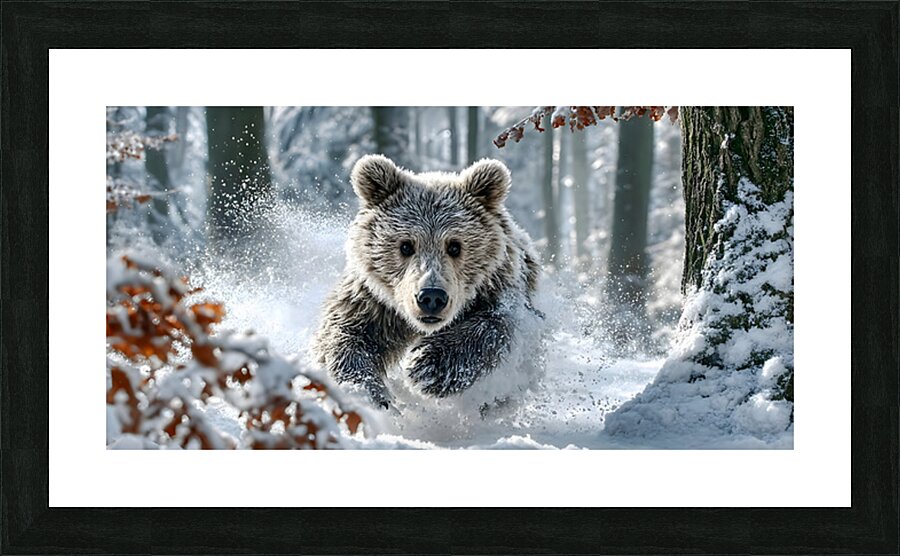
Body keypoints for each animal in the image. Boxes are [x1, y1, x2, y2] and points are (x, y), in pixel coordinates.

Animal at [313, 154, 540, 408]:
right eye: (405, 245)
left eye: (454, 246)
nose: (431, 297)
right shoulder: (373, 301)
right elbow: (343, 334)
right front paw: (365, 392)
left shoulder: (498, 286)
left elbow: (496, 325)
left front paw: (427, 364)